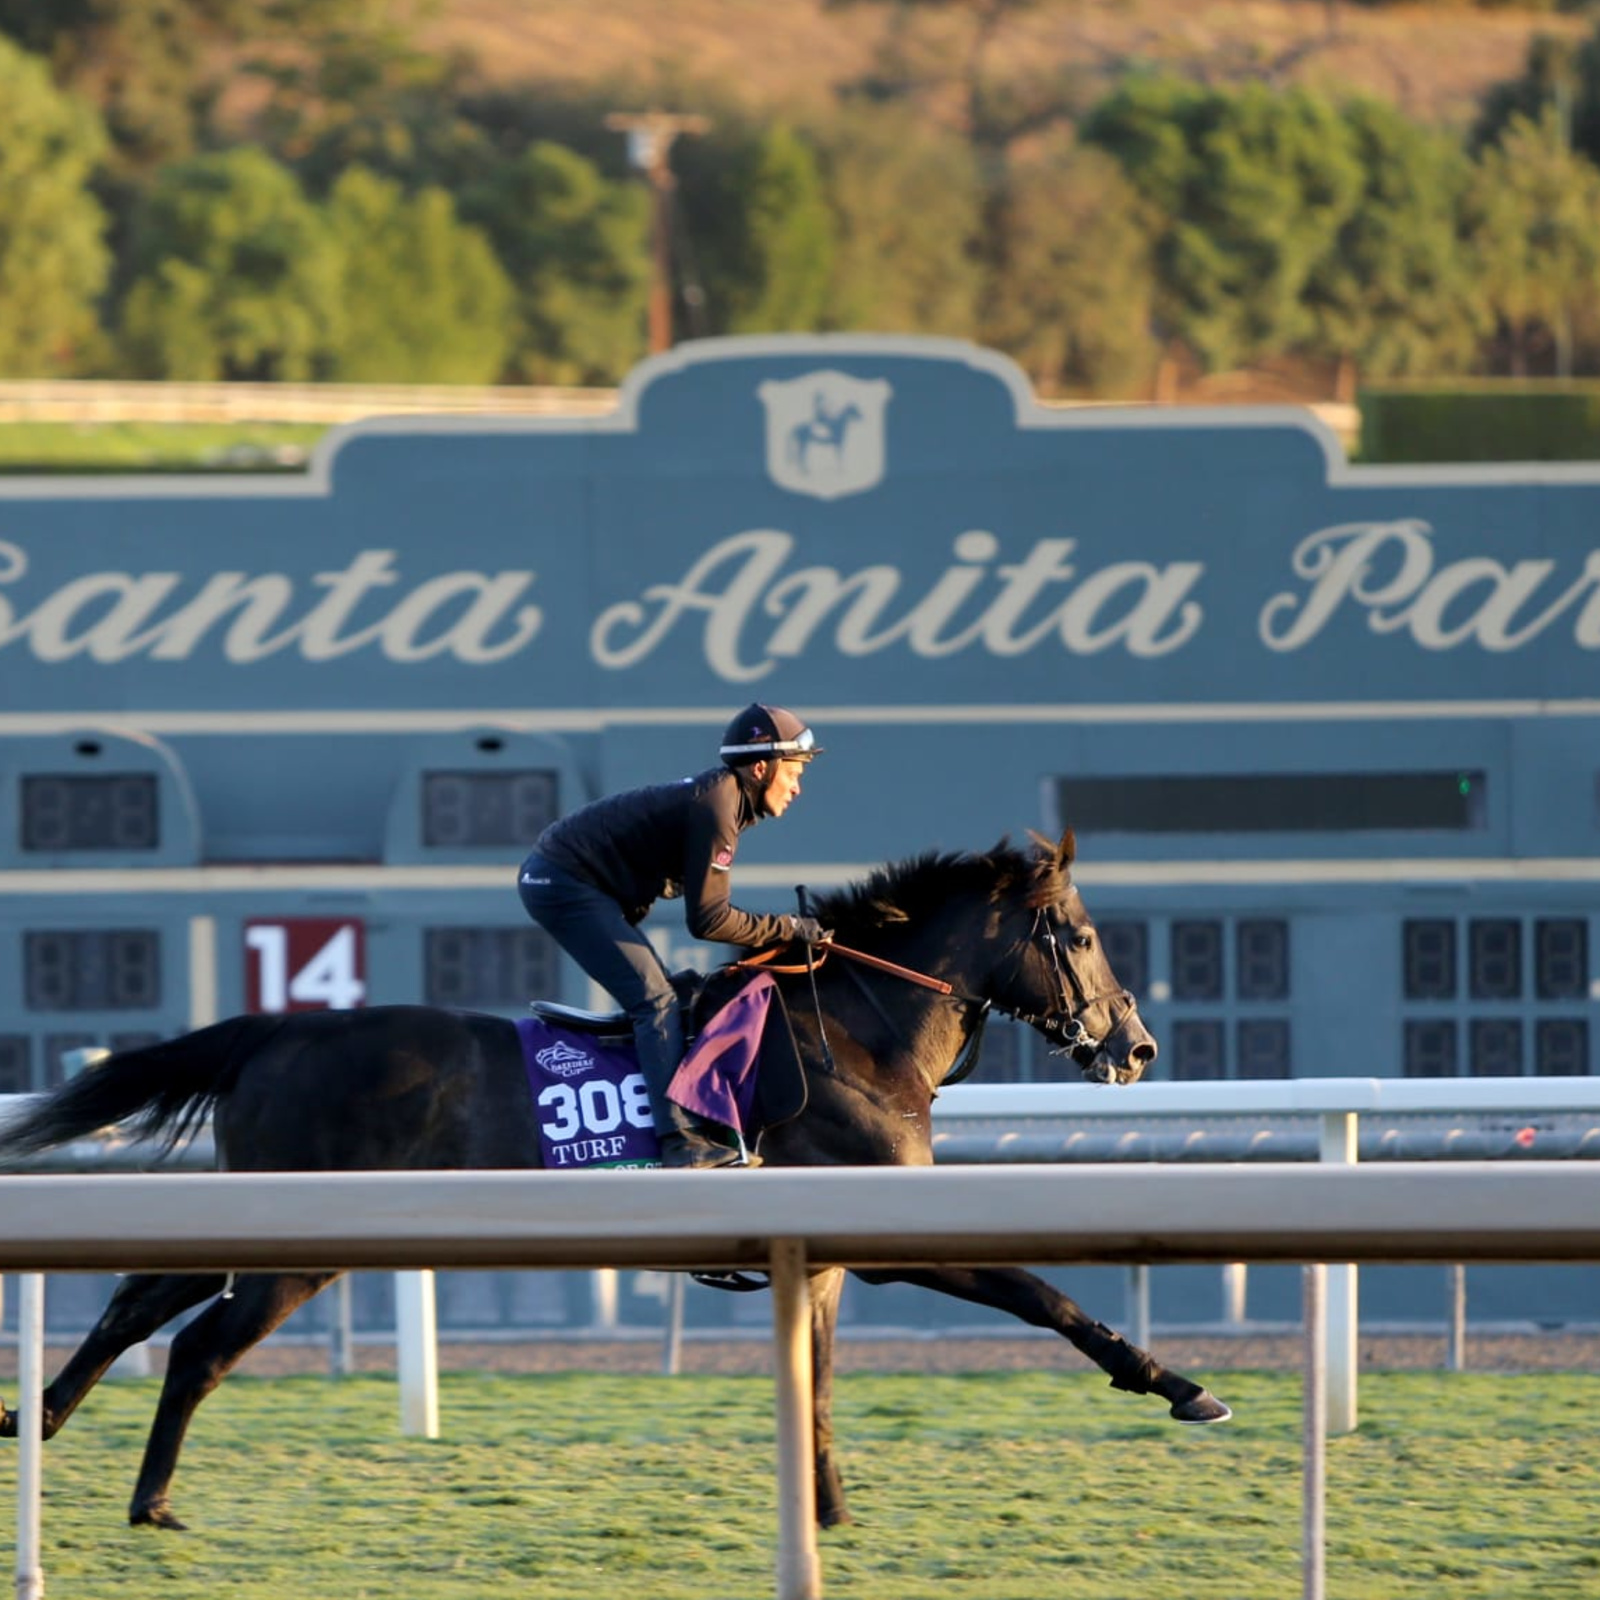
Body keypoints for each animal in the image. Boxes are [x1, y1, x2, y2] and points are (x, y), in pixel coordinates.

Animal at [0, 832, 1222, 1529]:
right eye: (1079, 933)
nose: (1136, 1047)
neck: (857, 1032)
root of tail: (274, 1030)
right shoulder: (883, 1237)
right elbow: (1043, 1292)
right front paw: (1180, 1385)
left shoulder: (826, 1251)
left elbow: (821, 1383)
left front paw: (825, 1509)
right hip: (300, 1241)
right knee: (198, 1345)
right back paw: (151, 1501)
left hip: (251, 1206)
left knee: (135, 1301)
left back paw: (40, 1418)